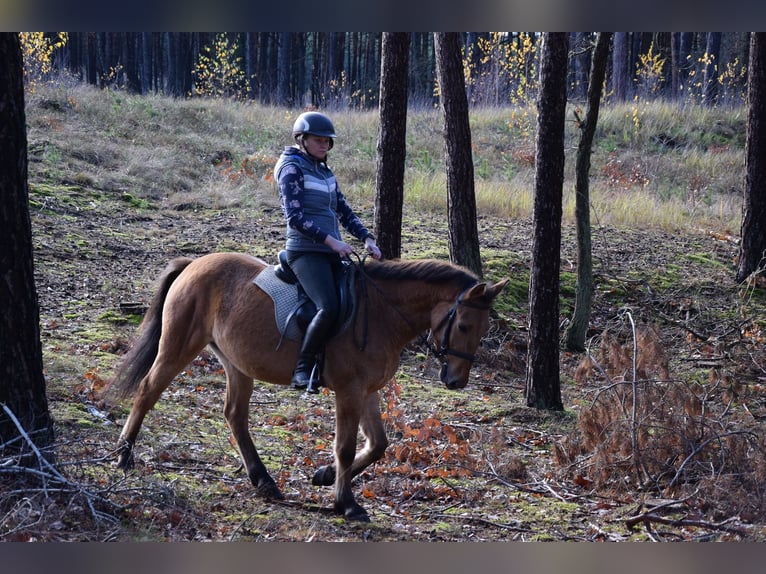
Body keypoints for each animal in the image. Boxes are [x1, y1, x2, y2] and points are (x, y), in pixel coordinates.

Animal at [109, 252, 508, 522]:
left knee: (235, 415)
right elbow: (346, 447)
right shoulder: (349, 390)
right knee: (148, 390)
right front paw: (346, 503)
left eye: (484, 328)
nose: (456, 380)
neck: (380, 312)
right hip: (179, 345)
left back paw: (264, 481)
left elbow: (378, 445)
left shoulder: (368, 391)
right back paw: (124, 455)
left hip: (237, 364)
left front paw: (325, 475)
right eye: (465, 326)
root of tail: (194, 264)